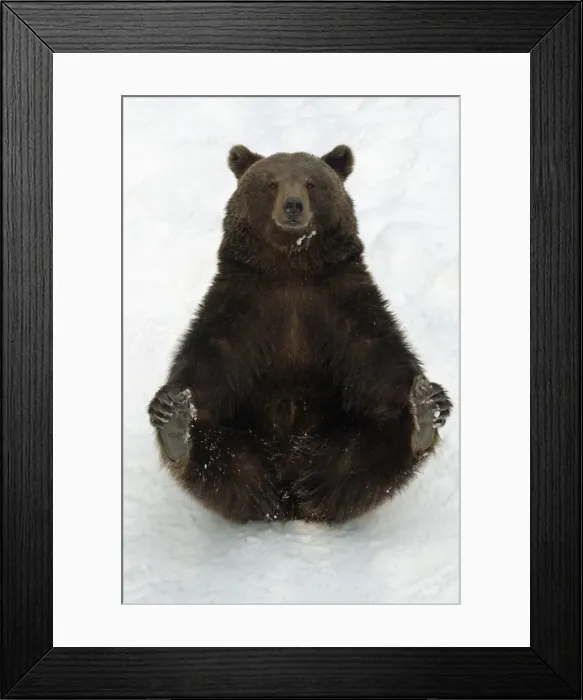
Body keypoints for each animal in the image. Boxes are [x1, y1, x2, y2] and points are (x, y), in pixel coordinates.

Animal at [148, 144, 452, 524]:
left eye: (311, 183)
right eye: (271, 183)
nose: (293, 205)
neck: (290, 266)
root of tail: (290, 491)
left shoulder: (341, 301)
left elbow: (379, 359)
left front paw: (430, 397)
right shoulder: (242, 304)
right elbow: (208, 362)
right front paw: (170, 404)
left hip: (336, 439)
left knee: (364, 454)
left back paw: (422, 421)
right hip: (249, 442)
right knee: (224, 455)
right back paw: (176, 432)